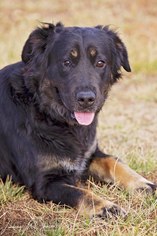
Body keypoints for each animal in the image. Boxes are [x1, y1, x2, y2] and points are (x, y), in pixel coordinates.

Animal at [0, 23, 156, 218]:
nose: (86, 99)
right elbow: (81, 193)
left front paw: (142, 184)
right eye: (66, 62)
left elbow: (114, 161)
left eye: (100, 63)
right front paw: (106, 207)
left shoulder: (90, 155)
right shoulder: (45, 182)